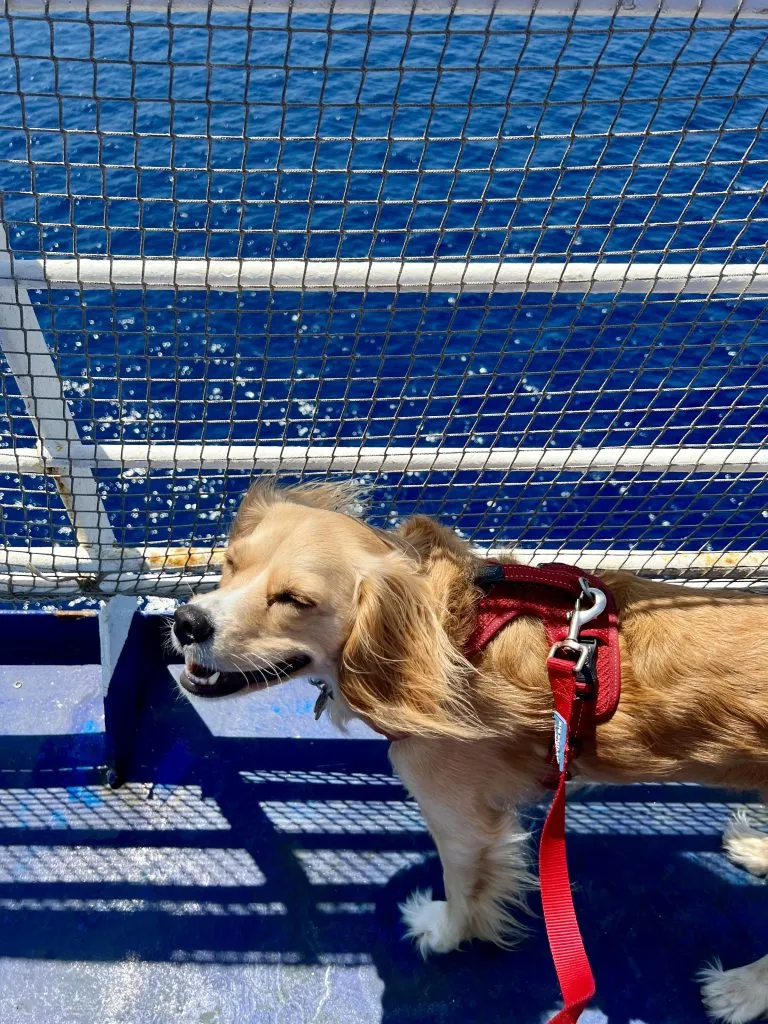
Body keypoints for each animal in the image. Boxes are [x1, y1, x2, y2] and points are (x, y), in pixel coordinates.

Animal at [173, 481, 768, 1024]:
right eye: (229, 564)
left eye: (294, 601)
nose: (186, 621)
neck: (447, 637)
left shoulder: (464, 822)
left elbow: (464, 890)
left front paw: (442, 934)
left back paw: (741, 991)